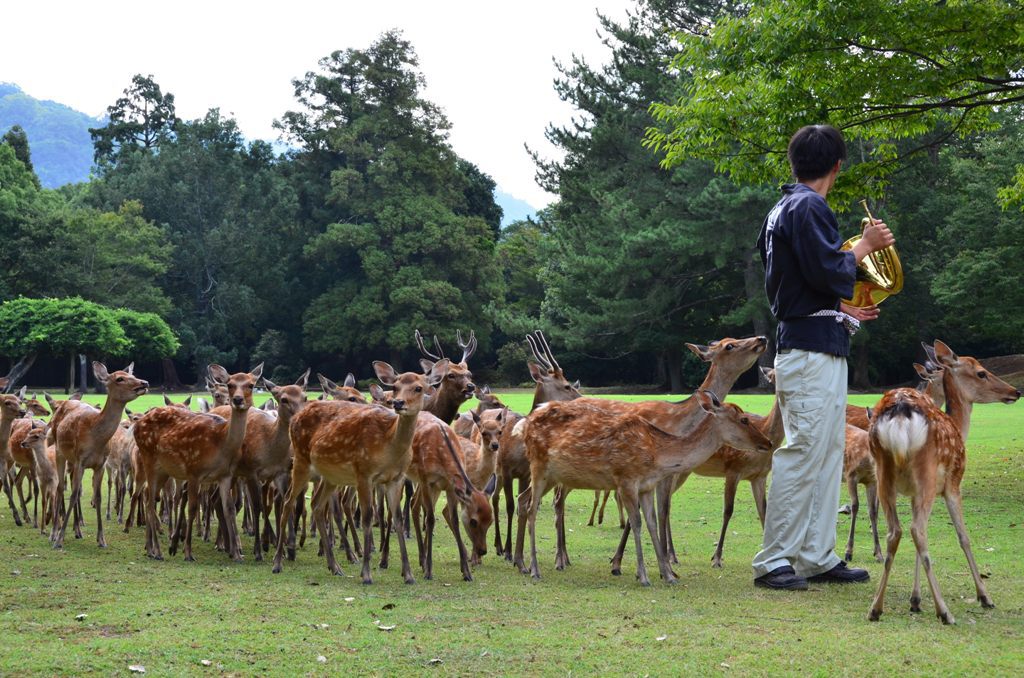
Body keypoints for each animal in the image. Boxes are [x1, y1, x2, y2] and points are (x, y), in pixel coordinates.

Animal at [132, 366, 262, 561]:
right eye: (230, 384)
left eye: (251, 385)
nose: (237, 400)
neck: (221, 442)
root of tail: (136, 424)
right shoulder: (194, 471)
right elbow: (193, 508)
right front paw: (187, 552)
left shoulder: (225, 475)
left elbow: (229, 508)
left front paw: (237, 554)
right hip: (148, 457)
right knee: (149, 500)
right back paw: (158, 551)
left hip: (163, 469)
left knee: (149, 495)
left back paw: (150, 548)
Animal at [272, 360, 448, 585]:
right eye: (395, 387)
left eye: (418, 388)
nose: (399, 403)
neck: (389, 445)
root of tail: (296, 417)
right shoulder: (364, 473)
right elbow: (366, 517)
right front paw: (366, 573)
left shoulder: (396, 478)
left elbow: (398, 519)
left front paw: (408, 575)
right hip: (301, 461)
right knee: (288, 501)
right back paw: (278, 562)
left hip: (330, 476)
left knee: (317, 506)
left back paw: (335, 567)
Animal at [864, 340, 1024, 626]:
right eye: (981, 372)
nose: (1015, 391)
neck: (959, 428)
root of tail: (901, 412)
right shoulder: (952, 484)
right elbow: (963, 537)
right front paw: (984, 596)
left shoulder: (913, 493)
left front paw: (915, 600)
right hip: (926, 474)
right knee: (917, 530)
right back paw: (945, 611)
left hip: (884, 474)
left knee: (897, 531)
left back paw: (875, 608)